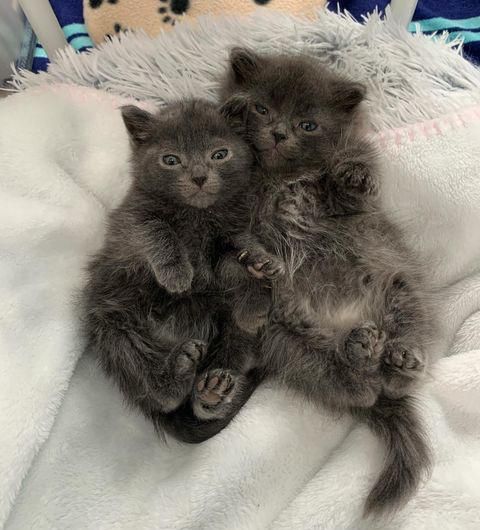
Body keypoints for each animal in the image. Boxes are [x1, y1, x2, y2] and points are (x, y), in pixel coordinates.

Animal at [82, 99, 266, 442]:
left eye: (219, 154)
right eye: (170, 160)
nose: (199, 176)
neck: (197, 216)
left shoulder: (227, 237)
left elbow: (235, 257)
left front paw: (260, 264)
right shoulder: (131, 220)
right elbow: (157, 230)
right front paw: (177, 274)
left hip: (228, 331)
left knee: (230, 352)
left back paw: (211, 392)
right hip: (112, 323)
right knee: (152, 385)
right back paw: (174, 378)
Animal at [219, 48, 436, 512]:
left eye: (308, 125)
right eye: (263, 109)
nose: (279, 132)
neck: (281, 176)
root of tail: (342, 325)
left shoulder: (349, 201)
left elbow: (351, 186)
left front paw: (352, 174)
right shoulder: (231, 210)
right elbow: (242, 239)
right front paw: (258, 260)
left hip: (401, 285)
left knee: (400, 357)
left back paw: (401, 359)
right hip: (286, 342)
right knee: (354, 387)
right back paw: (360, 353)